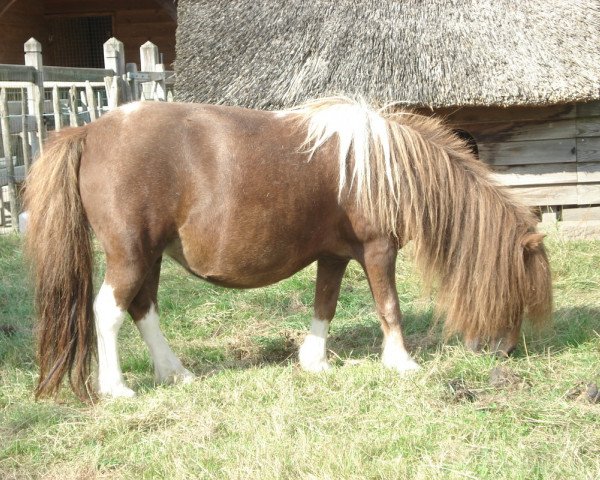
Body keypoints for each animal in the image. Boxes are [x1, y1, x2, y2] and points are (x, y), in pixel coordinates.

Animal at [24, 96, 552, 398]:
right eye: (520, 288)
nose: (505, 351)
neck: (382, 167)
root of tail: (89, 131)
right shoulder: (378, 250)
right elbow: (389, 306)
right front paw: (401, 362)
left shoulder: (335, 255)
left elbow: (325, 305)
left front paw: (314, 361)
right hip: (130, 254)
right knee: (109, 312)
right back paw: (116, 388)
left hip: (149, 256)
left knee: (144, 309)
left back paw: (175, 373)